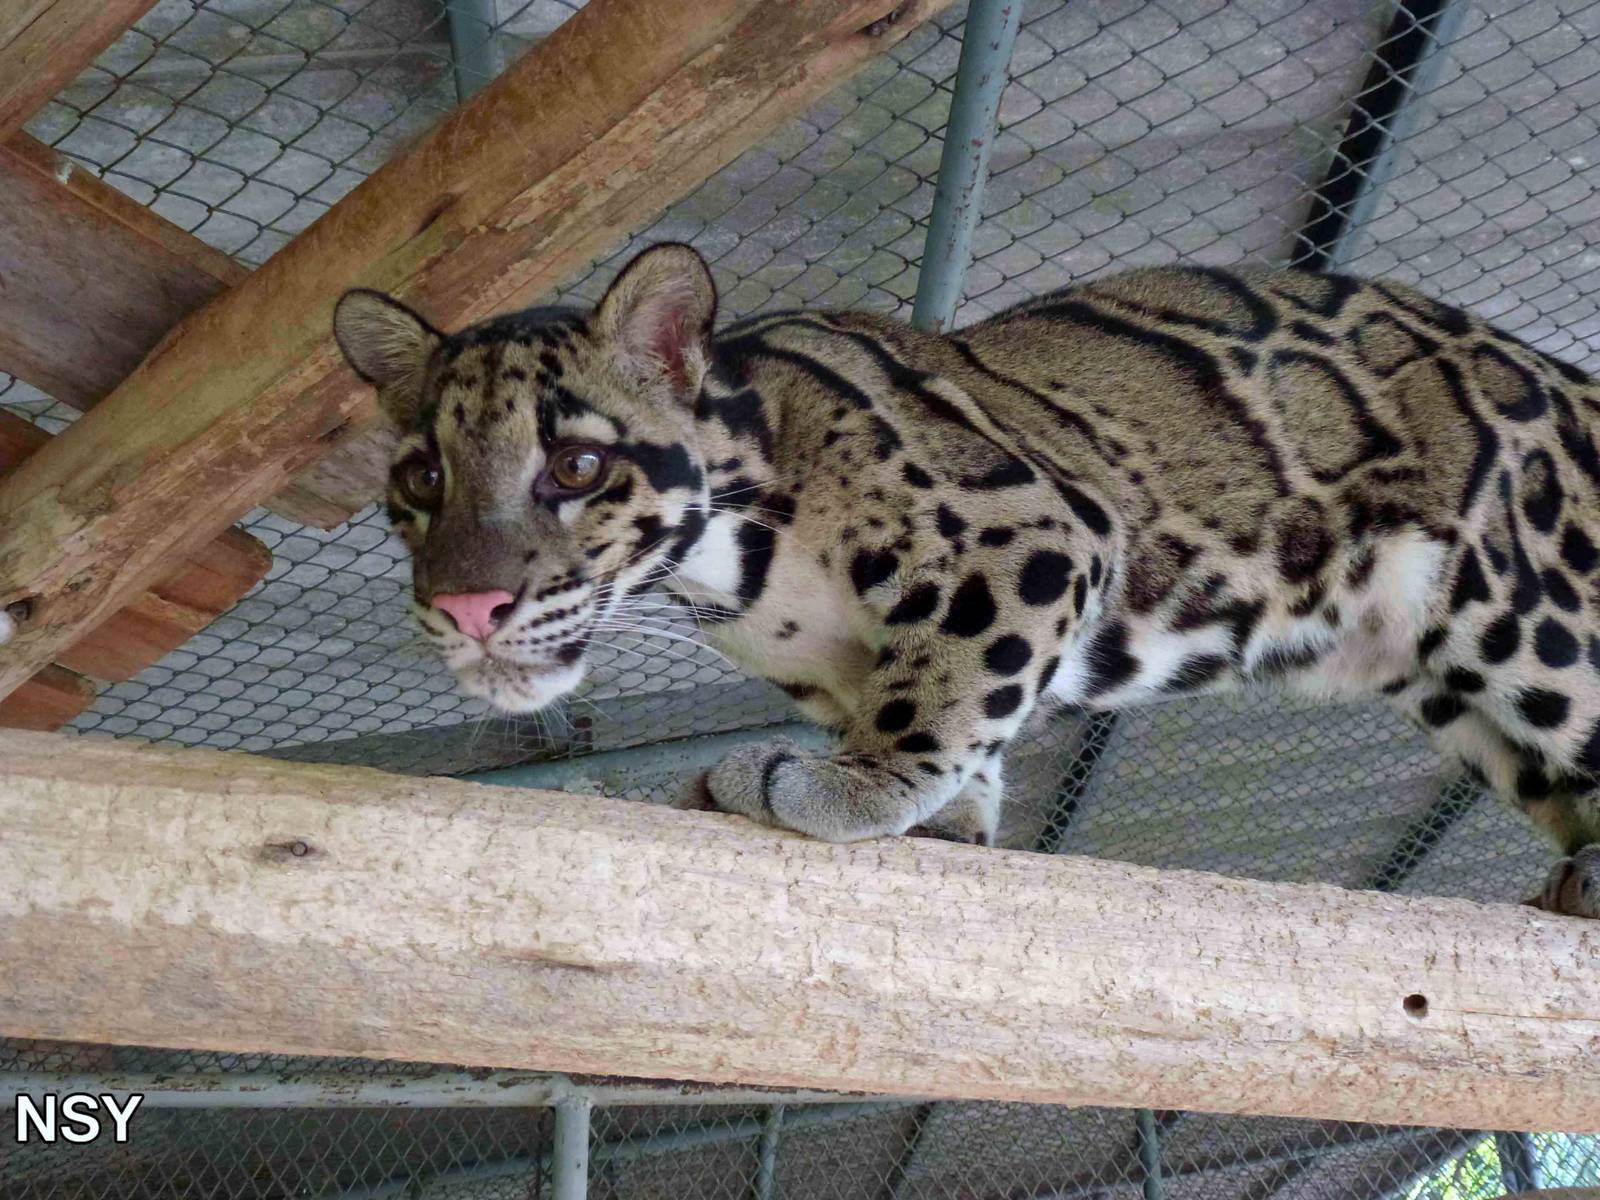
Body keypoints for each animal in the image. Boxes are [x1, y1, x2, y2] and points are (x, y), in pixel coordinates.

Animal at [333, 242, 1600, 919]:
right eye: (422, 475)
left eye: (577, 466)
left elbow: (948, 681)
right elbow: (957, 719)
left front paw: (852, 785)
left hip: (1525, 617)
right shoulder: (843, 665)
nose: (465, 607)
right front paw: (949, 824)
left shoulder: (1034, 528)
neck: (732, 565)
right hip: (1457, 688)